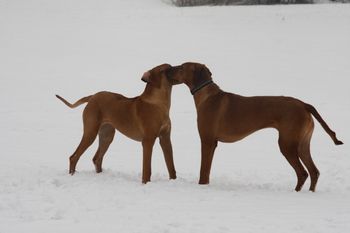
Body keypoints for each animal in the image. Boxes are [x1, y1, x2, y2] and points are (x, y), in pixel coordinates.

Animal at [168, 61, 344, 191]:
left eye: (181, 67)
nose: (168, 69)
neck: (206, 96)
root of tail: (303, 104)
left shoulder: (207, 141)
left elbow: (203, 170)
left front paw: (202, 187)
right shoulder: (213, 143)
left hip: (287, 144)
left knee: (302, 173)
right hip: (302, 144)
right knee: (314, 172)